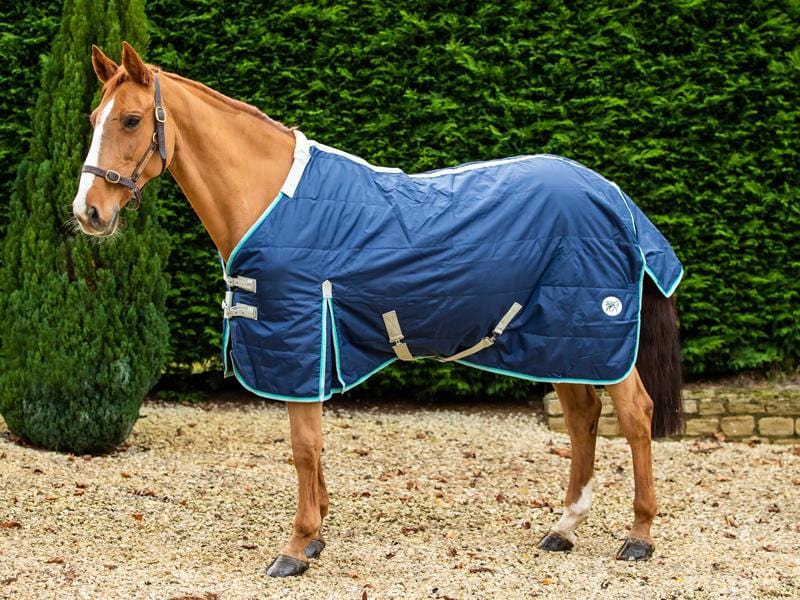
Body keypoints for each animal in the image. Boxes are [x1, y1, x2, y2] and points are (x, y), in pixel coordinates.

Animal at [73, 43, 684, 577]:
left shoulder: (301, 337)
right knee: (582, 418)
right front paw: (315, 535)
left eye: (131, 120)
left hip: (599, 334)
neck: (273, 198)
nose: (88, 212)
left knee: (635, 416)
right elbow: (314, 446)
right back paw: (564, 528)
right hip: (563, 341)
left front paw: (294, 548)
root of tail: (614, 195)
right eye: (94, 117)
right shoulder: (311, 347)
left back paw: (638, 537)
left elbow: (303, 446)